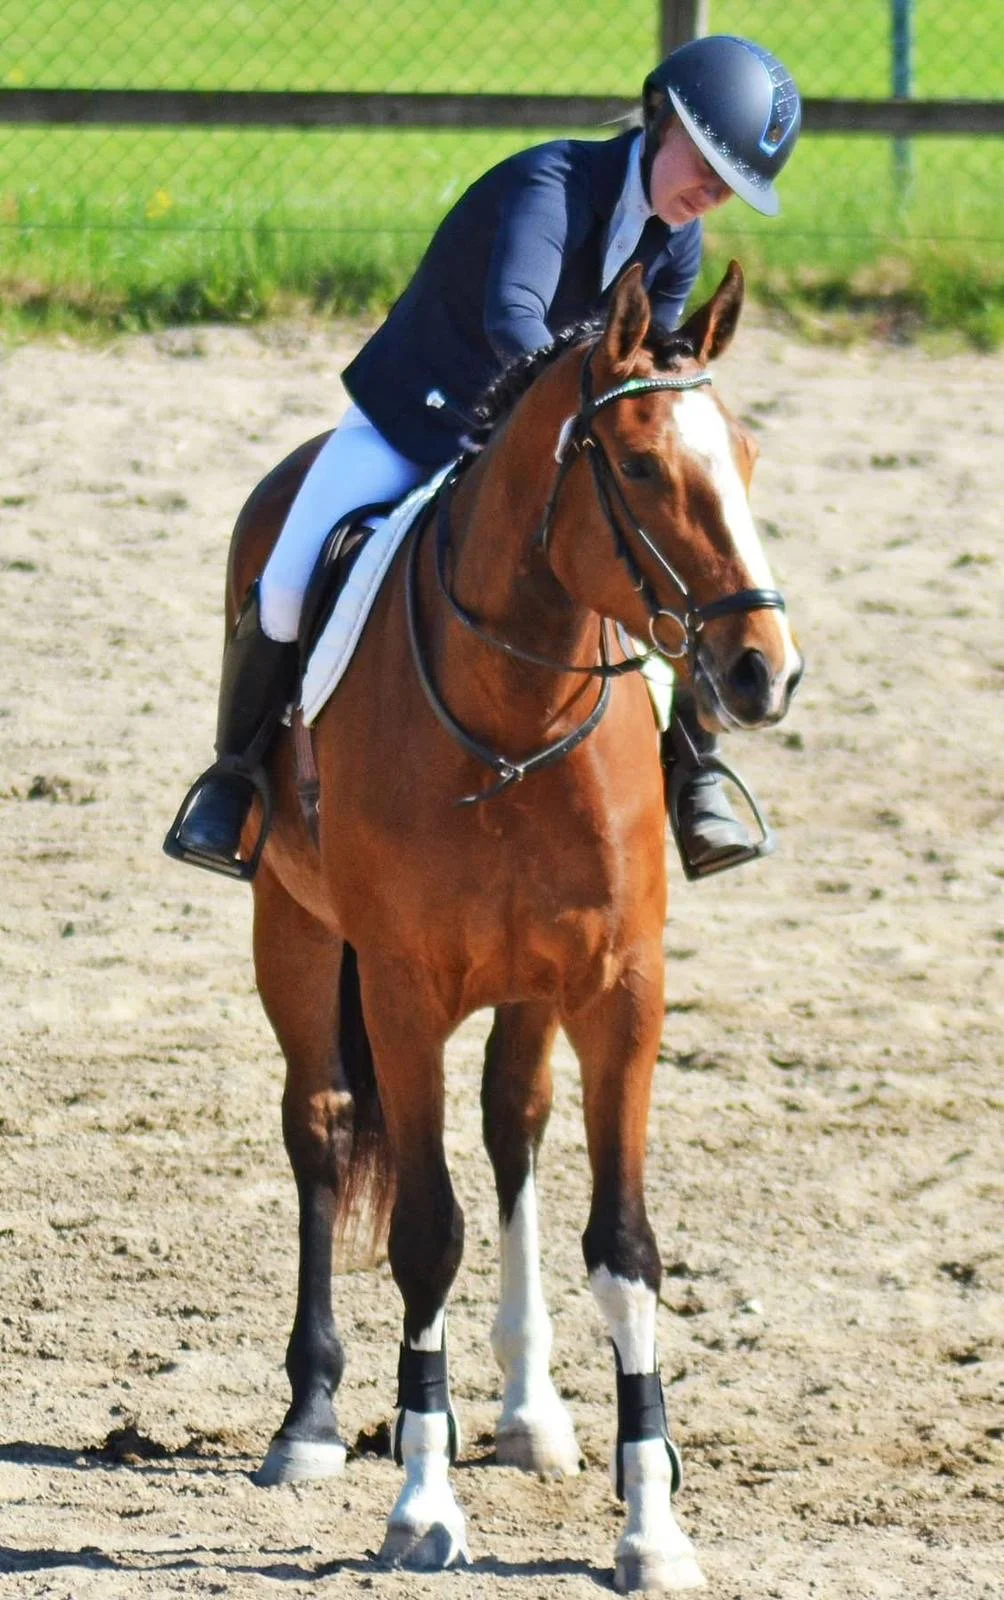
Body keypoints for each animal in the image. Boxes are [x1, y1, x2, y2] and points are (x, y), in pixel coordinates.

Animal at [221, 261, 802, 1592]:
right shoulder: (399, 991)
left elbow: (623, 1249)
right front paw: (422, 1504)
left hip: (531, 989)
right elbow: (425, 1236)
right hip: (293, 929)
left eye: (743, 453)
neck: (513, 716)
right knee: (321, 1128)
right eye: (636, 465)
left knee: (512, 1129)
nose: (762, 670)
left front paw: (652, 1524)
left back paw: (532, 1411)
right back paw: (313, 1419)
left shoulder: (618, 989)